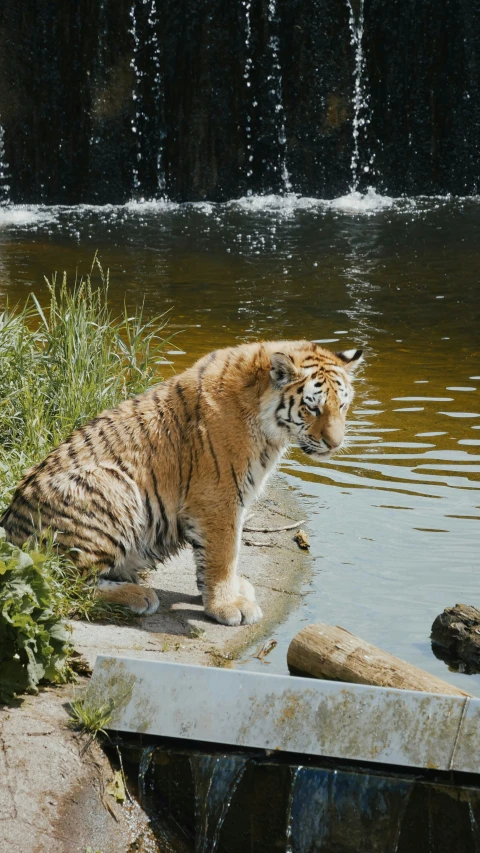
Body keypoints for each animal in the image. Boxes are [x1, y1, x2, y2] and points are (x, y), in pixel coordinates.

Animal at [0, 340, 360, 624]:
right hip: (112, 486)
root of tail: (10, 531)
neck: (268, 426)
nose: (336, 444)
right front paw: (228, 606)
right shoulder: (219, 497)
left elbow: (215, 555)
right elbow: (224, 553)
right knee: (62, 584)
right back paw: (138, 595)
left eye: (342, 406)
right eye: (313, 408)